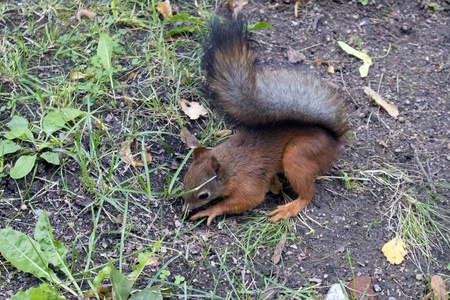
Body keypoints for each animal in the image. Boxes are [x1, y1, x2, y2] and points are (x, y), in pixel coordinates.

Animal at [182, 14, 348, 225]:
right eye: (185, 180)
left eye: (204, 195)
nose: (185, 209)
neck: (229, 166)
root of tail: (333, 140)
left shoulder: (248, 181)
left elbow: (249, 198)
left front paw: (210, 211)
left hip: (299, 155)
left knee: (308, 194)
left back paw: (290, 208)